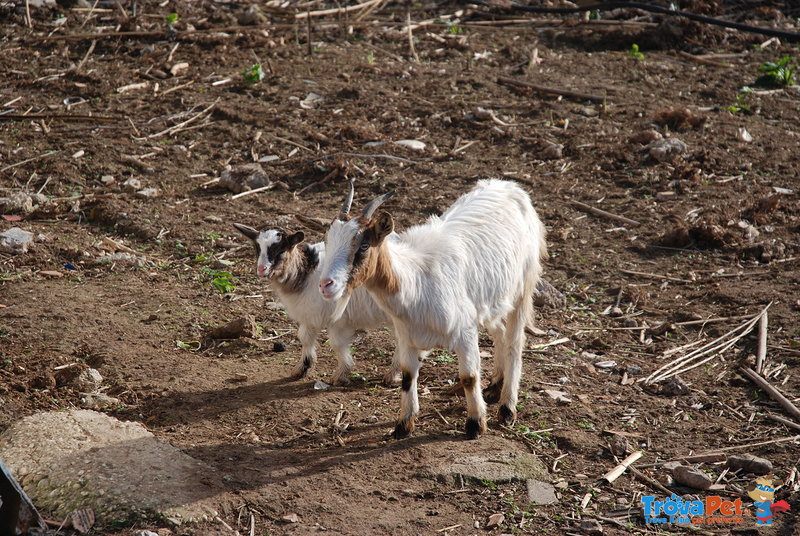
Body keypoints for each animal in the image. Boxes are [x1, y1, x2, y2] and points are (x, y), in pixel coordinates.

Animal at [233, 185, 398, 386]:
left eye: (281, 250)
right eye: (257, 248)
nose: (262, 269)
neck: (307, 273)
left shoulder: (338, 320)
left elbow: (337, 344)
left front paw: (340, 375)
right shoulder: (308, 315)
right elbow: (304, 338)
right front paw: (301, 369)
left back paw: (392, 375)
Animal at [318, 180, 544, 440]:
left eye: (363, 246)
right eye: (329, 241)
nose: (325, 285)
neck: (415, 281)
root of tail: (510, 186)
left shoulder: (465, 331)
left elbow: (469, 377)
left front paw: (475, 424)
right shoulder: (406, 335)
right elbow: (408, 375)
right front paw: (403, 425)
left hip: (522, 287)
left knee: (515, 342)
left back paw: (507, 408)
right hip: (490, 300)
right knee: (499, 332)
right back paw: (494, 387)